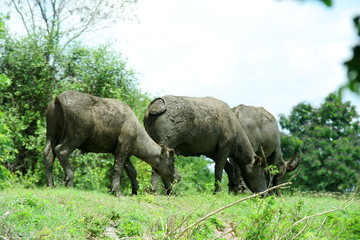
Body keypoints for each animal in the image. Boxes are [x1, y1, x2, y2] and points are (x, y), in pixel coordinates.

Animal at [43, 91, 180, 196]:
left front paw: (134, 191)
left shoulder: (123, 151)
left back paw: (51, 184)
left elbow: (132, 171)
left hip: (52, 134)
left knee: (48, 153)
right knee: (61, 150)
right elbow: (117, 169)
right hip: (76, 135)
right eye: (171, 162)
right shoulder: (122, 148)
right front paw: (116, 191)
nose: (178, 177)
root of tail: (57, 98)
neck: (137, 135)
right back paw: (69, 180)